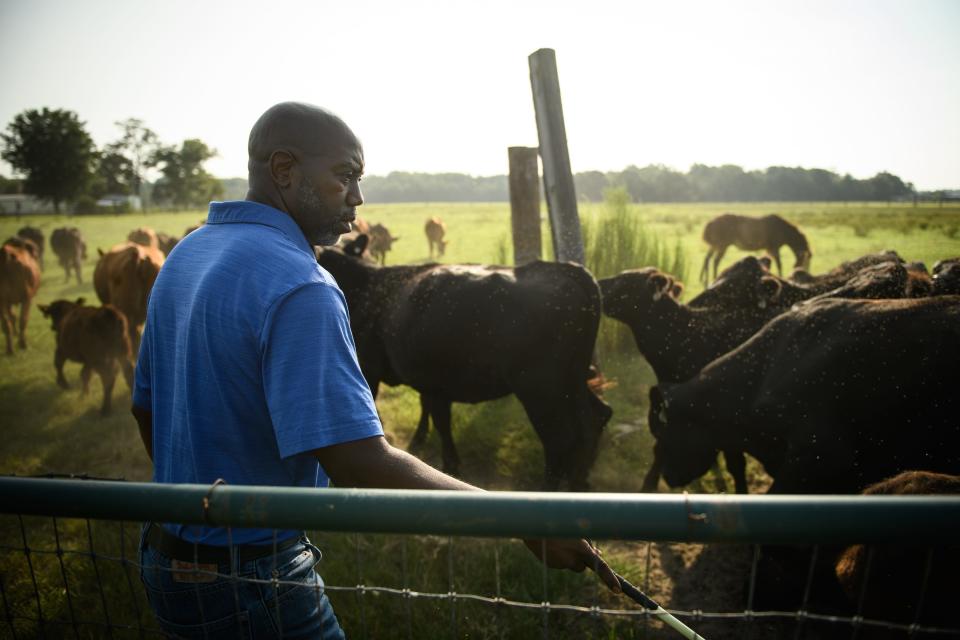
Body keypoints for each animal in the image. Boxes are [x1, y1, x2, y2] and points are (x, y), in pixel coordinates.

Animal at [318, 235, 612, 490]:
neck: (366, 288)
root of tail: (565, 270)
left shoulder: (369, 368)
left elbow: (430, 418)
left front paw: (448, 463)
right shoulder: (430, 378)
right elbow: (432, 411)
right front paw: (423, 444)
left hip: (540, 386)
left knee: (560, 438)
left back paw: (549, 491)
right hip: (572, 380)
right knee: (595, 418)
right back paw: (579, 481)